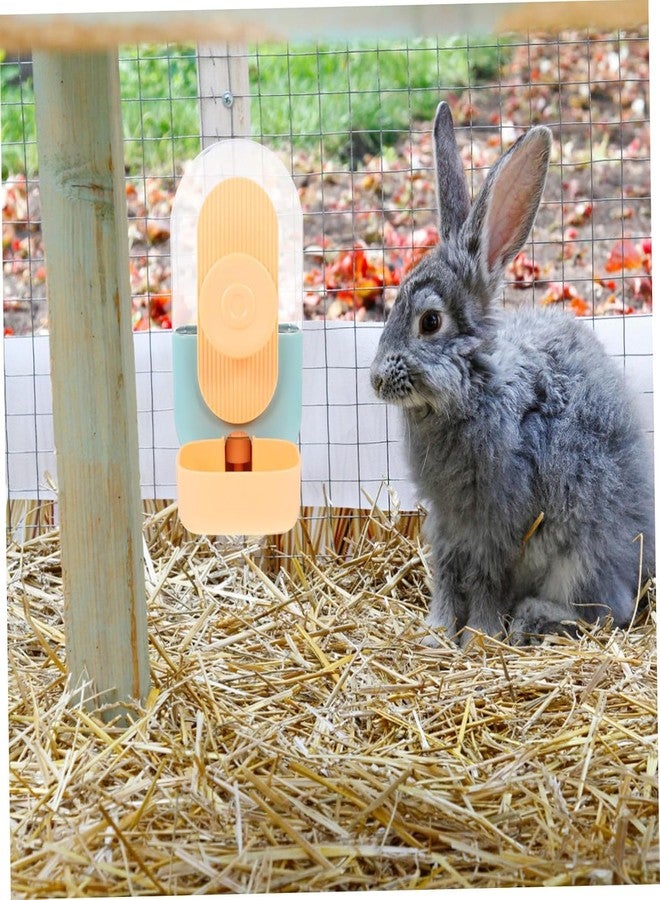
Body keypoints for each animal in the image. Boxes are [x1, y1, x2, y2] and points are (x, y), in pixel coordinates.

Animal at [370, 101, 655, 646]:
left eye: (430, 322)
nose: (375, 380)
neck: (475, 389)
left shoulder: (497, 527)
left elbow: (485, 583)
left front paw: (479, 637)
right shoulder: (446, 525)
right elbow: (446, 576)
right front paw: (436, 632)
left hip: (582, 554)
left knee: (609, 610)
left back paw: (532, 618)